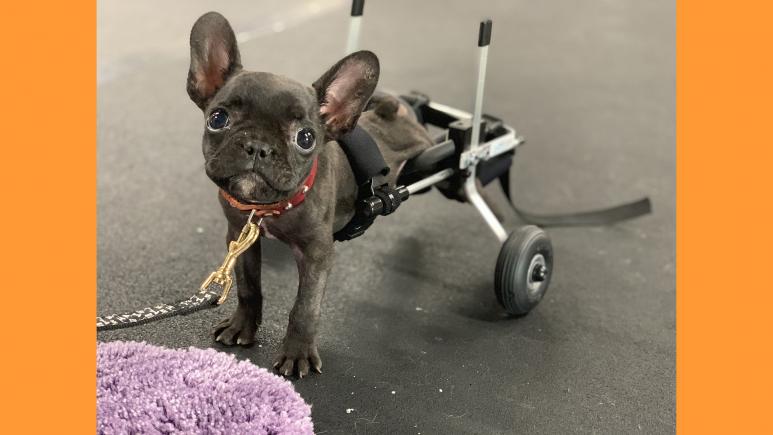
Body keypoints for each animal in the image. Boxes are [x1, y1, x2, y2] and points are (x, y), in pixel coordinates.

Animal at [185, 11, 432, 378]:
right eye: (218, 118)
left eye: (305, 138)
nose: (257, 147)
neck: (270, 208)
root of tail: (394, 110)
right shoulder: (240, 237)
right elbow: (248, 286)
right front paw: (243, 326)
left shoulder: (317, 253)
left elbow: (304, 307)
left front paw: (297, 352)